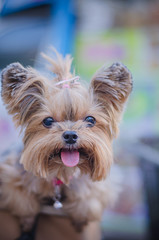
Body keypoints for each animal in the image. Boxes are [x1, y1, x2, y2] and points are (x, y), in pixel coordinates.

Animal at [0, 48, 132, 238]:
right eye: (48, 121)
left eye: (90, 120)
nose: (70, 135)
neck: (61, 170)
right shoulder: (9, 175)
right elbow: (22, 200)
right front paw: (27, 221)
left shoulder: (100, 188)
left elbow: (89, 201)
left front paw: (80, 218)